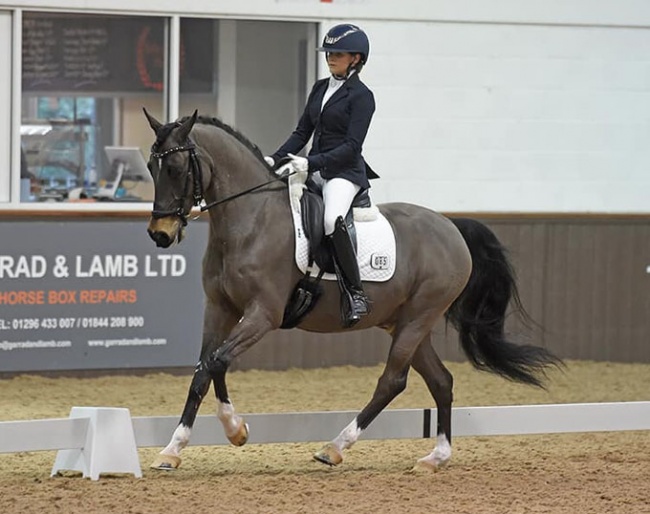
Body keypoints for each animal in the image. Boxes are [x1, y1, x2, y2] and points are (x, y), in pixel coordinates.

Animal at [144, 110, 560, 470]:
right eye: (151, 167)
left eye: (176, 169)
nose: (160, 234)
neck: (251, 219)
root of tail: (451, 227)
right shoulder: (220, 308)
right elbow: (205, 368)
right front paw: (175, 449)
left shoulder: (263, 313)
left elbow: (217, 362)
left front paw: (234, 430)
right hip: (407, 322)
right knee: (441, 381)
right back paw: (435, 458)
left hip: (418, 317)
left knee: (392, 381)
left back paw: (335, 447)